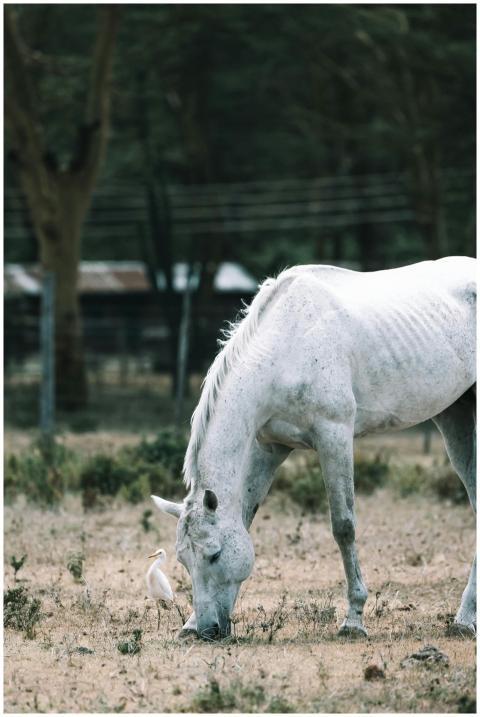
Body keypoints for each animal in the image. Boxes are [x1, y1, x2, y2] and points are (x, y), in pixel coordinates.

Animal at [153, 256, 476, 640]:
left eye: (215, 555)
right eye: (184, 560)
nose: (206, 630)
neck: (287, 347)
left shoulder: (334, 436)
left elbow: (344, 526)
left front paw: (353, 620)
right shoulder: (269, 447)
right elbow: (245, 518)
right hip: (455, 417)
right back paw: (465, 619)